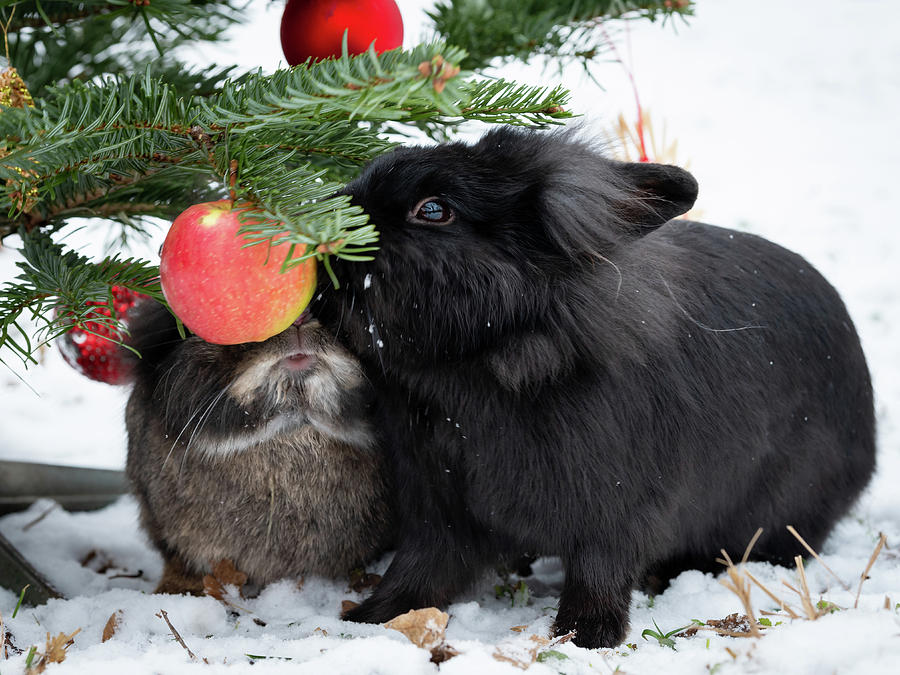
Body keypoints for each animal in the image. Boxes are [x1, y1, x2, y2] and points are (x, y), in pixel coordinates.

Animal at [312, 126, 877, 648]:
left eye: (433, 210)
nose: (325, 230)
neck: (483, 366)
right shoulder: (437, 507)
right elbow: (422, 569)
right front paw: (371, 618)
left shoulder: (616, 509)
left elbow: (598, 571)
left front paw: (584, 636)